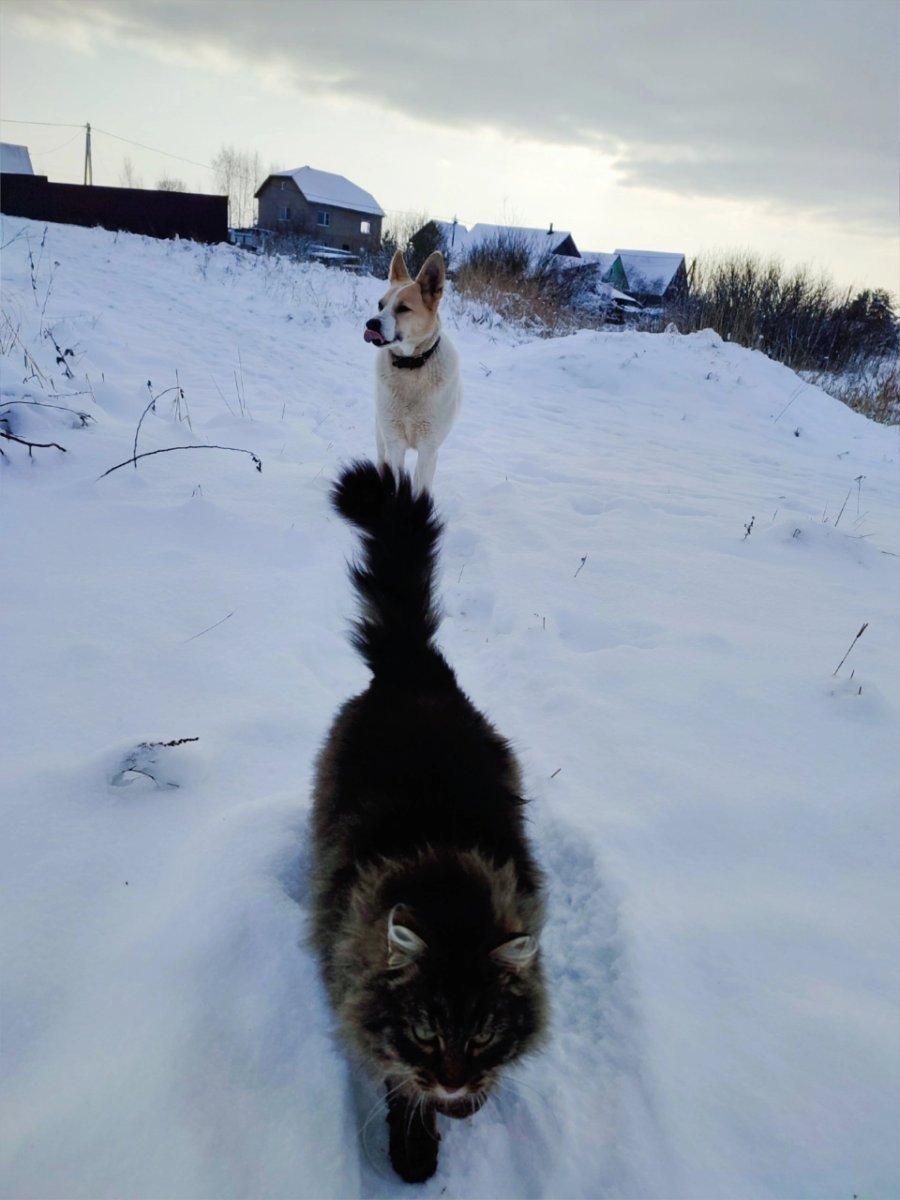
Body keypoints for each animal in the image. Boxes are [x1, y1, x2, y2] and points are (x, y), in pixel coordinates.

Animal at [310, 461, 547, 1183]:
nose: (452, 1081)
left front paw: (468, 1104)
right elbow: (398, 1084)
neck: (449, 887)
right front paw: (415, 1147)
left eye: (483, 1035)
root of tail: (414, 667)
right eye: (425, 1034)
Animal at [364, 251, 461, 494]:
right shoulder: (394, 443)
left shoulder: (428, 448)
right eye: (380, 305)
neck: (410, 365)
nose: (371, 323)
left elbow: (420, 486)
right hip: (381, 435)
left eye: (403, 308)